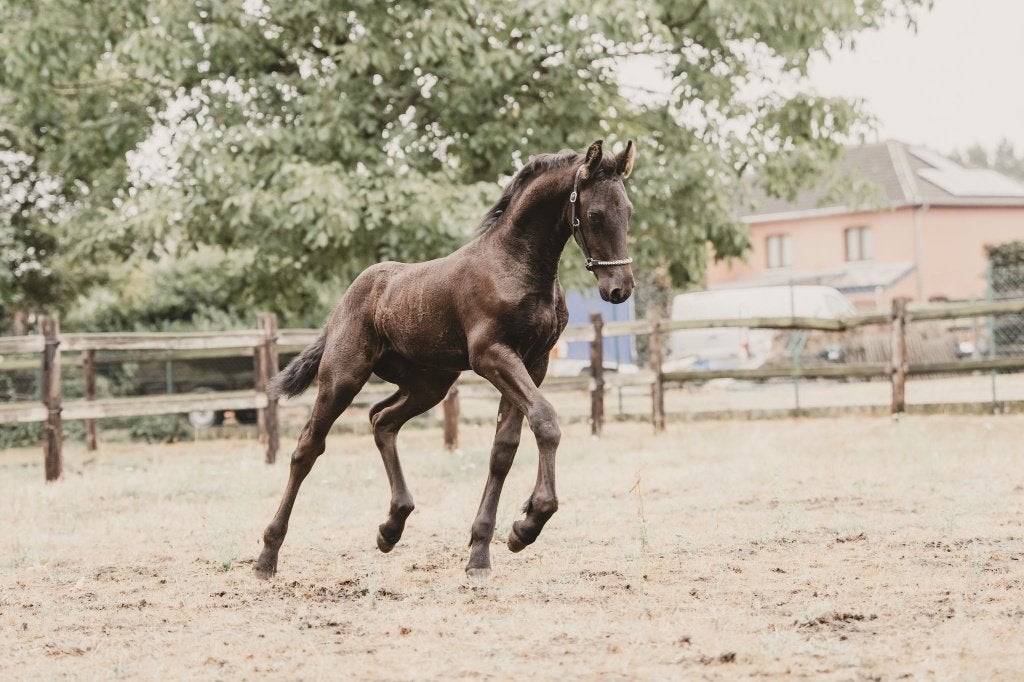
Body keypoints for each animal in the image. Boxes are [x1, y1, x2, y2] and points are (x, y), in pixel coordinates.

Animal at [254, 138, 636, 579]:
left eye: (628, 211)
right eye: (594, 214)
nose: (620, 289)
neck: (516, 265)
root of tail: (344, 302)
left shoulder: (534, 363)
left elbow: (503, 449)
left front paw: (485, 549)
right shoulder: (491, 356)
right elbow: (545, 420)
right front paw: (528, 523)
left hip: (429, 385)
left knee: (382, 420)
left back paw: (391, 527)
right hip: (343, 377)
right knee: (307, 448)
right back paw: (267, 555)